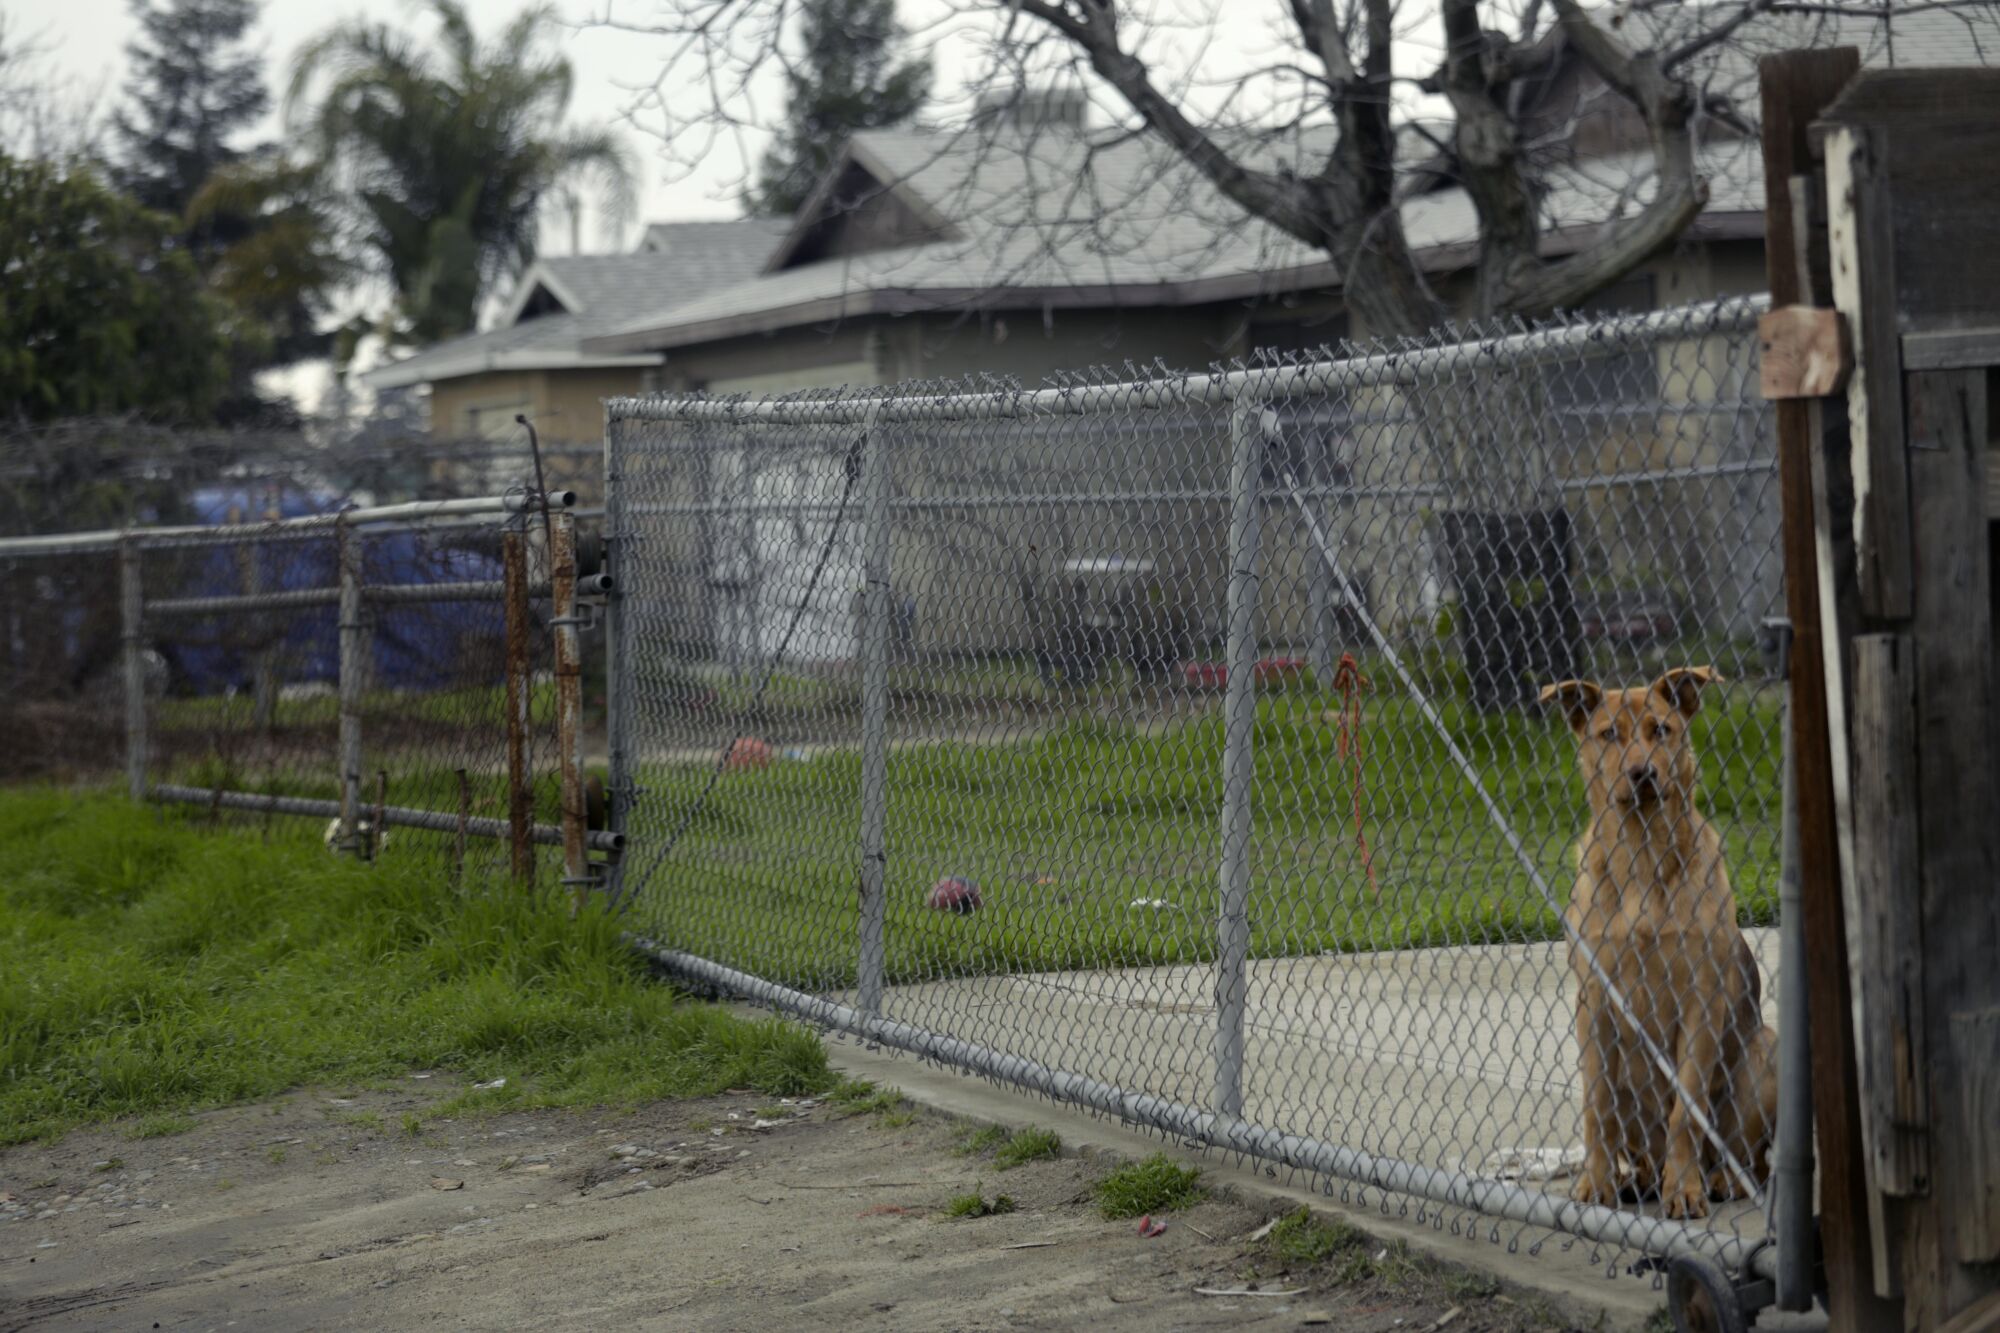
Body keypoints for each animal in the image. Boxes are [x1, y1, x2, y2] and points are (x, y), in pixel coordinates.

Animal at [1536, 664, 1776, 1216]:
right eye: (1609, 735)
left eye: (1661, 730)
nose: (1641, 773)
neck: (1642, 856)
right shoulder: (1594, 1001)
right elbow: (1596, 1105)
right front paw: (1595, 1183)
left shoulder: (1700, 1000)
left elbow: (1686, 1111)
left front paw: (1683, 1189)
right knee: (1640, 1146)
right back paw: (1638, 1180)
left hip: (1764, 1052)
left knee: (1752, 1161)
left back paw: (1717, 1179)